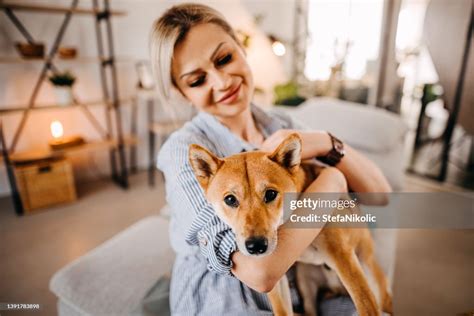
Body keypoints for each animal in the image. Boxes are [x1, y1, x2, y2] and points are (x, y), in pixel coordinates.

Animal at [189, 134, 392, 316]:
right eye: (230, 199)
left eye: (270, 194)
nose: (256, 246)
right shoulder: (275, 279)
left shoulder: (343, 257)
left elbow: (366, 306)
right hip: (305, 281)